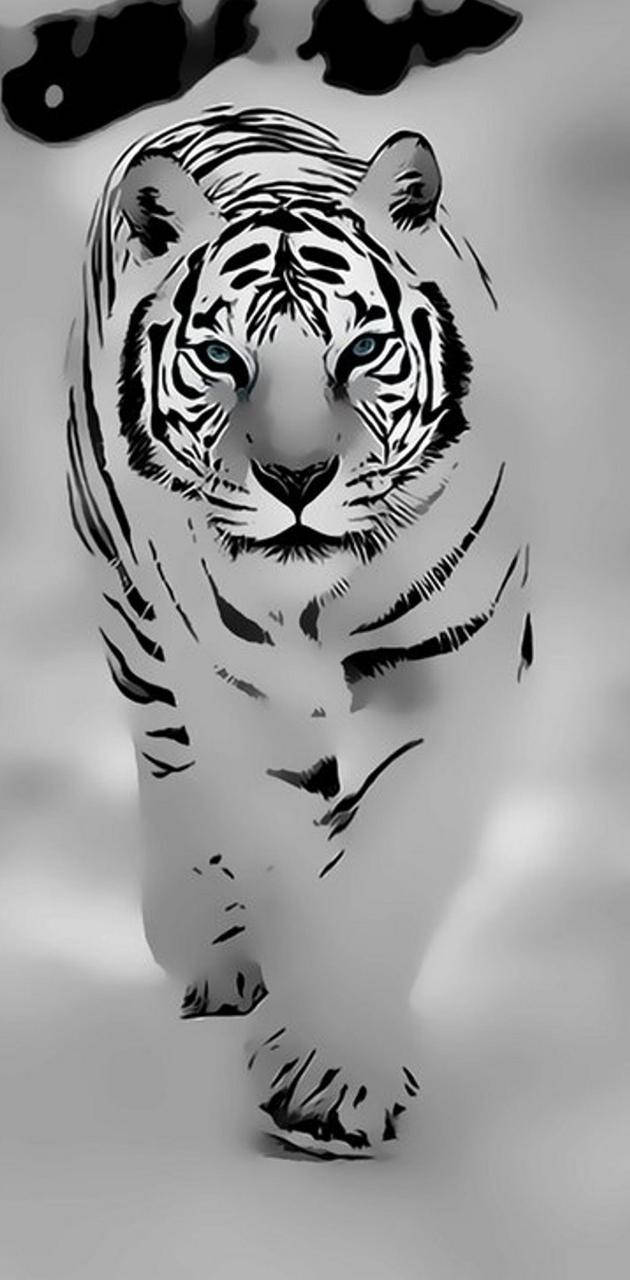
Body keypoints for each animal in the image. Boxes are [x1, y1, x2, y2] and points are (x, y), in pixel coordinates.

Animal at [66, 105, 532, 1159]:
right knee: (170, 771)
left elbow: (393, 848)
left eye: (359, 353)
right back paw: (209, 947)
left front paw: (332, 1071)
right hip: (133, 626)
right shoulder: (244, 700)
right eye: (221, 359)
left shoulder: (462, 668)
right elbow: (279, 846)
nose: (295, 478)